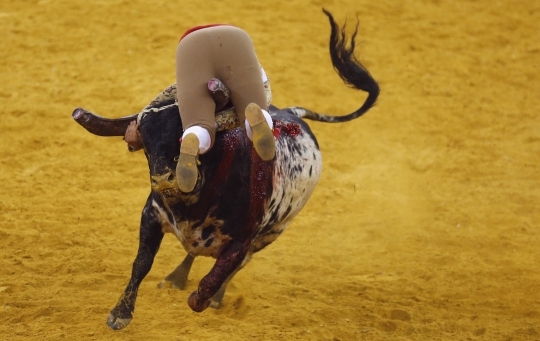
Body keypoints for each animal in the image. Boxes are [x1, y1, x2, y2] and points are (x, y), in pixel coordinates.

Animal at [71, 9, 380, 330]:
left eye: (185, 138)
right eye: (145, 143)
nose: (165, 180)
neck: (194, 203)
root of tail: (292, 113)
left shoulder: (243, 239)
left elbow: (215, 276)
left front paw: (204, 299)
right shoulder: (152, 214)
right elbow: (142, 263)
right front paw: (120, 313)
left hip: (272, 233)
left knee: (235, 266)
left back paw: (215, 297)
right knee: (193, 253)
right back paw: (175, 279)